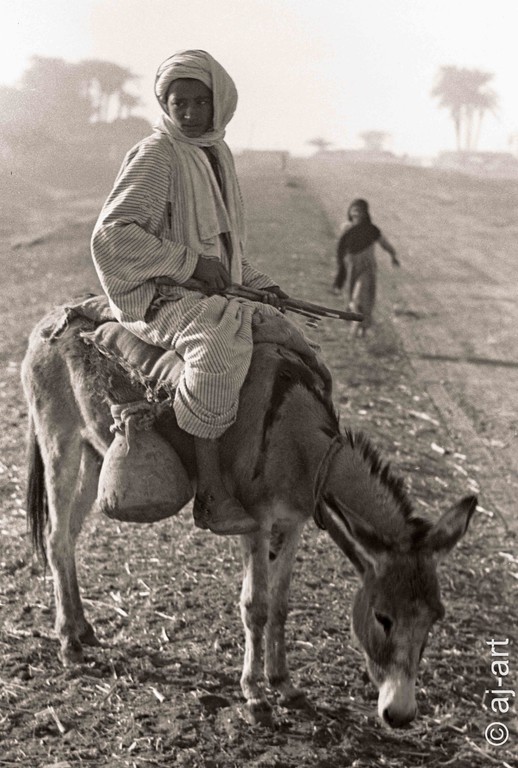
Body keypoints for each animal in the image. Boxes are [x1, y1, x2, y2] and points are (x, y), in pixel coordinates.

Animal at [21, 304, 477, 729]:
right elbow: (255, 605)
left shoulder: (294, 522)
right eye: (383, 617)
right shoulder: (256, 522)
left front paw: (284, 683)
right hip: (60, 442)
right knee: (56, 538)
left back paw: (82, 628)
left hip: (94, 455)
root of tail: (45, 321)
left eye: (435, 618)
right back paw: (69, 643)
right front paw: (255, 696)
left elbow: (281, 604)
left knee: (69, 537)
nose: (400, 714)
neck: (298, 438)